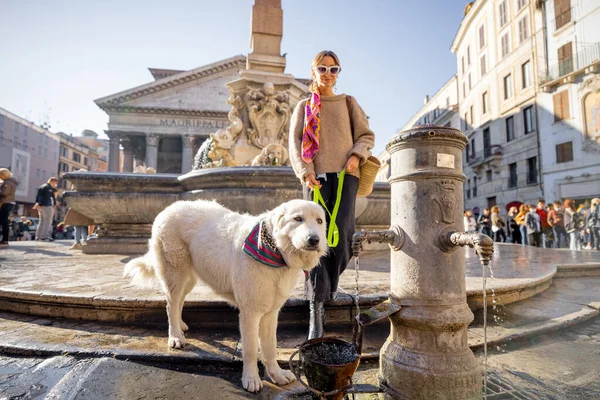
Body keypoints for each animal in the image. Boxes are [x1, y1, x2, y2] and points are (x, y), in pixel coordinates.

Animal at [123, 198, 326, 392]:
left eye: (319, 221)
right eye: (298, 218)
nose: (314, 239)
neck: (276, 250)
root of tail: (169, 207)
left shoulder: (270, 314)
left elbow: (270, 348)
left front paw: (277, 375)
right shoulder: (250, 314)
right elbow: (251, 350)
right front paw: (251, 380)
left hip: (189, 278)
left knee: (178, 302)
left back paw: (180, 326)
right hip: (175, 273)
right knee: (170, 305)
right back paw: (175, 337)